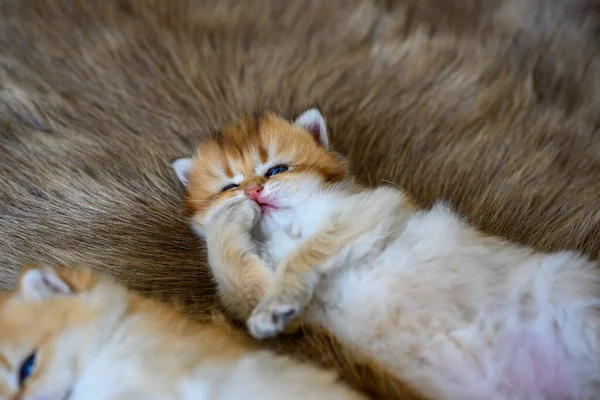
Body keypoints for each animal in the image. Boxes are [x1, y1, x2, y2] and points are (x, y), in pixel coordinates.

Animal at [172, 109, 600, 400]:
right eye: (229, 186)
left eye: (276, 170)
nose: (252, 192)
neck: (287, 228)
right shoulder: (273, 305)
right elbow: (234, 279)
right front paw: (229, 219)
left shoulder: (375, 207)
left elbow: (306, 252)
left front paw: (279, 291)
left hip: (568, 287)